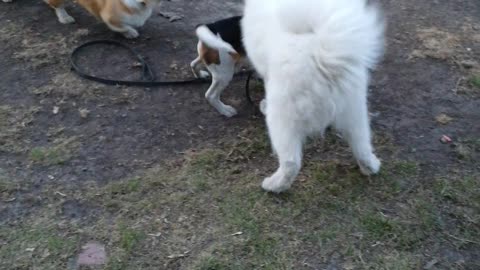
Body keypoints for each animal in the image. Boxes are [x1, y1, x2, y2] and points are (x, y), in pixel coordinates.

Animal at [242, 0, 384, 192]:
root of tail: (323, 56)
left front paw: (264, 104)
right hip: (355, 111)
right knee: (362, 147)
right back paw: (371, 167)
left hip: (282, 120)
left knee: (291, 163)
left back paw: (274, 185)